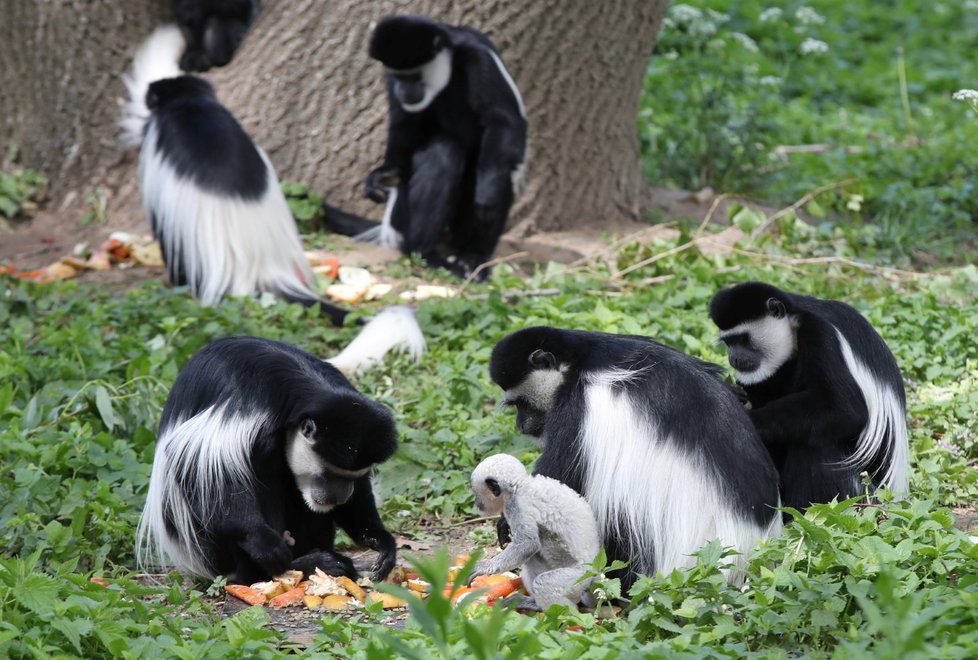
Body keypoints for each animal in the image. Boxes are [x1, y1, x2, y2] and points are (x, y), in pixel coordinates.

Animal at [135, 336, 402, 584]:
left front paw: (379, 539)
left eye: (353, 476)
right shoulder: (249, 413)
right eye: (330, 473)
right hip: (212, 551)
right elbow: (195, 470)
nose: (339, 496)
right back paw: (296, 566)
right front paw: (264, 543)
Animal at [320, 15, 528, 278]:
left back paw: (471, 259)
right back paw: (425, 254)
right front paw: (383, 172)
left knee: (502, 172)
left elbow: (502, 119)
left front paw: (488, 194)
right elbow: (403, 126)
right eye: (398, 75)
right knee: (442, 153)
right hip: (402, 214)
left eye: (413, 75)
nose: (402, 89)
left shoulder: (480, 59)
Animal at [492, 326, 780, 588]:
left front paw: (508, 524)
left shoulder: (578, 408)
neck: (579, 364)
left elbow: (561, 477)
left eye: (521, 403)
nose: (521, 424)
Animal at [708, 280, 908, 516]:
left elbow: (845, 409)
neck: (795, 324)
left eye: (743, 339)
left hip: (858, 489)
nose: (734, 358)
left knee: (816, 444)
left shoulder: (822, 335)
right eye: (728, 342)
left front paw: (750, 420)